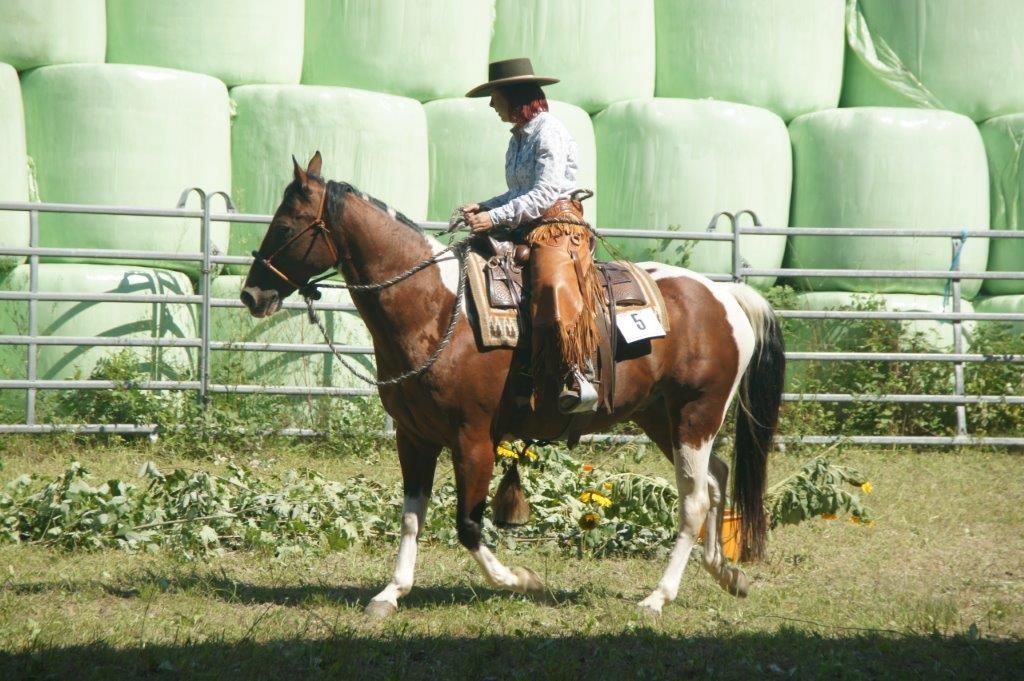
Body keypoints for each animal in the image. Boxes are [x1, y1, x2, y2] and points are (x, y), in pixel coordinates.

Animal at [241, 153, 786, 618]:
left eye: (284, 225)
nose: (250, 295)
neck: (437, 308)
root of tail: (725, 294)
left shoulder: (474, 439)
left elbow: (467, 525)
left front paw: (522, 580)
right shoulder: (413, 438)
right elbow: (412, 515)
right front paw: (390, 593)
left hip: (696, 413)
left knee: (694, 501)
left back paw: (658, 597)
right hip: (661, 417)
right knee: (713, 479)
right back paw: (727, 574)